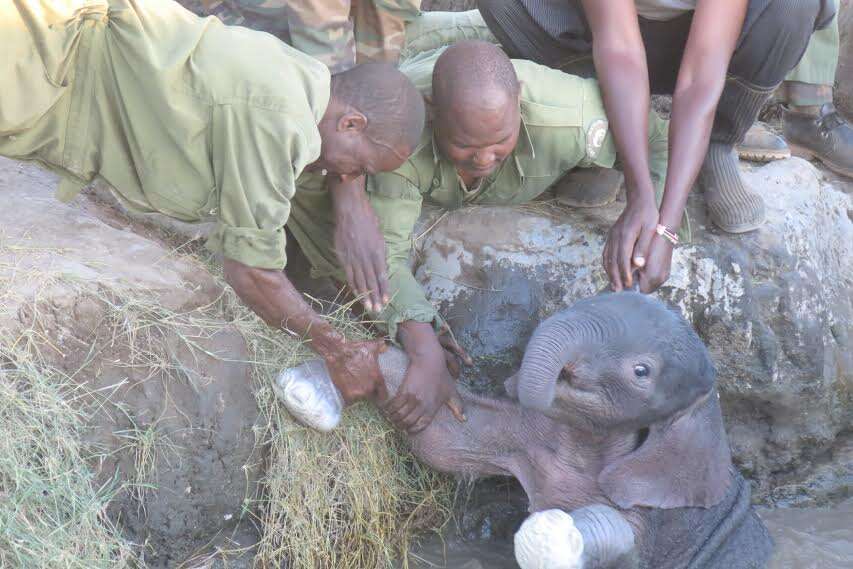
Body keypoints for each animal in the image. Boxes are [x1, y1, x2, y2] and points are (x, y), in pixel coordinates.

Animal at [378, 292, 772, 568]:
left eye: (641, 372)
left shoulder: (652, 512)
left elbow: (618, 541)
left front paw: (551, 532)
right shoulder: (534, 437)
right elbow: (445, 438)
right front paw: (363, 358)